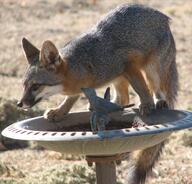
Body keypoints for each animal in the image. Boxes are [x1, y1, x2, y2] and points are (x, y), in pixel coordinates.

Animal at [17, 4, 178, 184]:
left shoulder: (128, 65)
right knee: (123, 98)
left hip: (151, 70)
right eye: (24, 86)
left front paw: (146, 104)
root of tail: (163, 17)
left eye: (35, 86)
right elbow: (70, 99)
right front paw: (59, 112)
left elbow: (142, 89)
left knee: (156, 88)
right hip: (118, 79)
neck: (81, 65)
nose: (19, 103)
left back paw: (158, 101)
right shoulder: (87, 85)